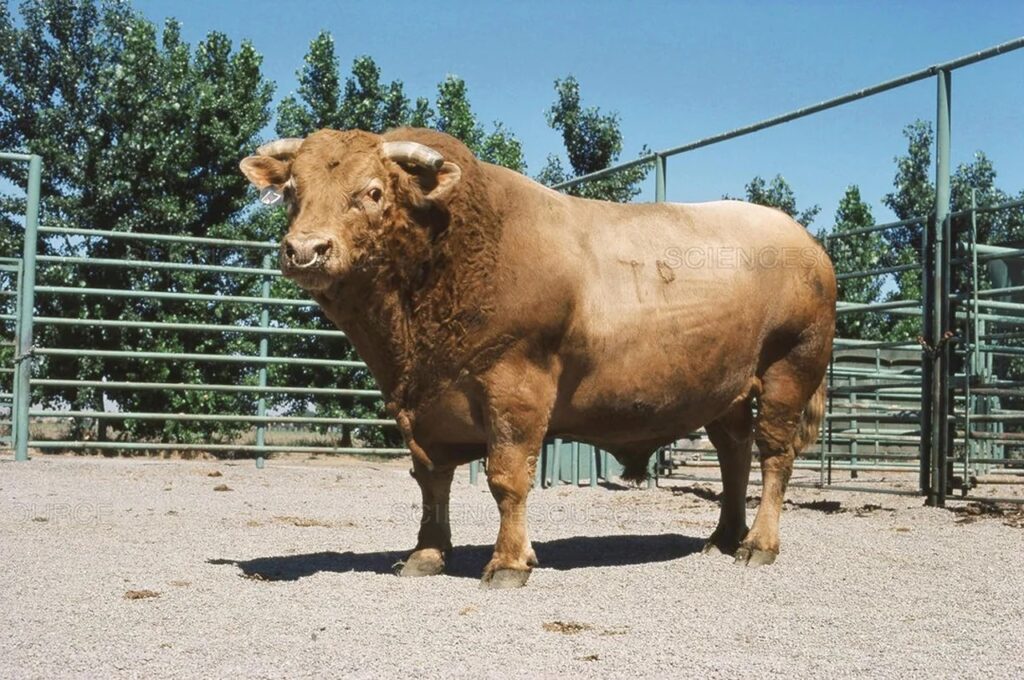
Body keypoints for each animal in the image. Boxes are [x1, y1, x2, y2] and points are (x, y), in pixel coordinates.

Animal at [239, 127, 836, 588]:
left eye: (372, 191)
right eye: (292, 191)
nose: (305, 249)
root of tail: (806, 242)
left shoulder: (515, 384)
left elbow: (507, 477)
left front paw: (507, 562)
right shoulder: (419, 406)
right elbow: (430, 479)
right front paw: (426, 554)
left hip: (790, 367)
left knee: (774, 455)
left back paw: (758, 544)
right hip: (726, 389)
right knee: (734, 453)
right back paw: (722, 537)